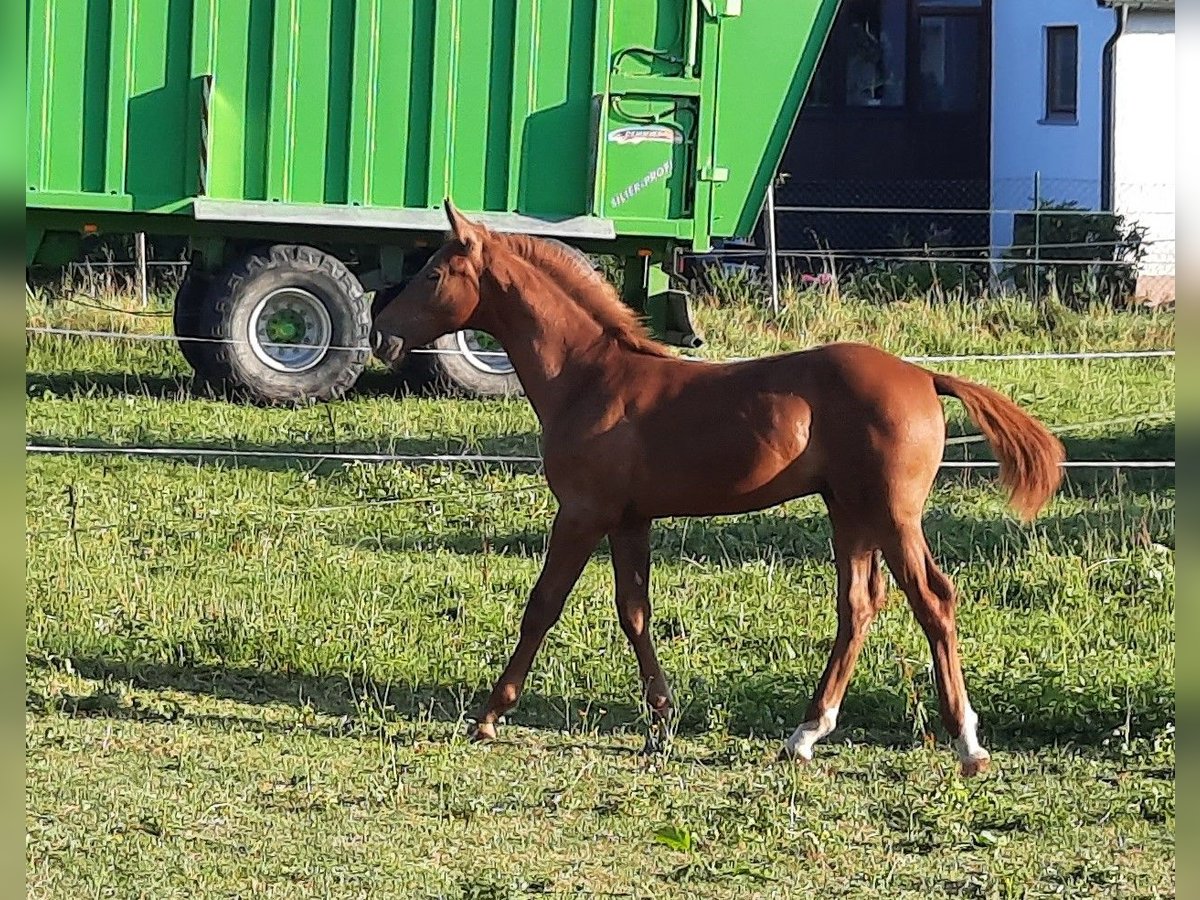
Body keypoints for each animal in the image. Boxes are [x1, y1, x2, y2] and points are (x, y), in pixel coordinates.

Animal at [369, 200, 1065, 777]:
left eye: (433, 274)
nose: (380, 336)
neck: (590, 377)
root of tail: (923, 376)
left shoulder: (582, 513)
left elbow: (542, 606)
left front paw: (490, 714)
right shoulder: (629, 519)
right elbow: (634, 610)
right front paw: (659, 720)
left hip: (894, 516)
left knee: (933, 600)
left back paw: (967, 744)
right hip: (850, 513)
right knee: (859, 607)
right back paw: (805, 735)